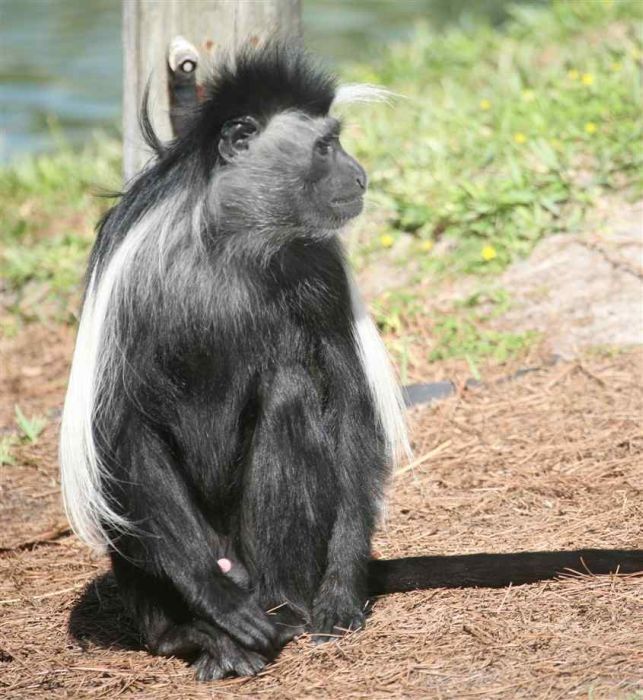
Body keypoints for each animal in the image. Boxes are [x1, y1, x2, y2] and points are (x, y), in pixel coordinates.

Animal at [59, 42, 640, 680]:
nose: (360, 174)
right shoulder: (134, 278)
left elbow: (351, 407)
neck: (235, 239)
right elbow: (124, 430)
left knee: (292, 392)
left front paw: (339, 594)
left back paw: (286, 606)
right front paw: (218, 606)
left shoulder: (323, 267)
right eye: (324, 147)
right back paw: (199, 635)